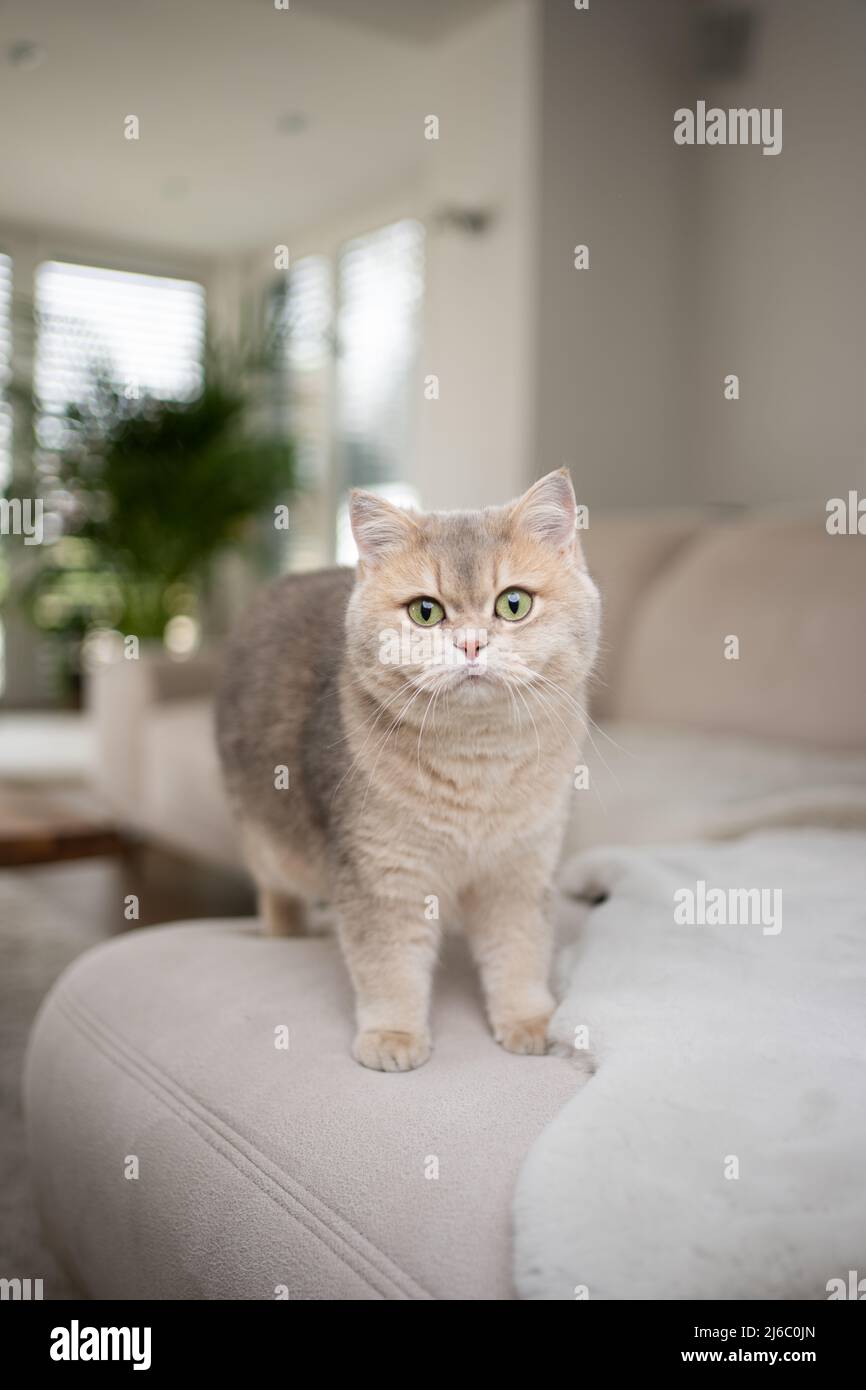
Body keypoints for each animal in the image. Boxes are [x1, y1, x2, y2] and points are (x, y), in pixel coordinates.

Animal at [215, 472, 603, 1067]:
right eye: (426, 612)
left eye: (513, 604)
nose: (471, 643)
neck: (477, 763)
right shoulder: (383, 878)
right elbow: (390, 965)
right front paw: (393, 1035)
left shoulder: (518, 872)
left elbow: (520, 952)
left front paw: (528, 1020)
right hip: (273, 847)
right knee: (275, 892)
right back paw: (287, 932)